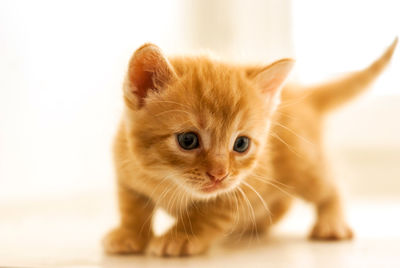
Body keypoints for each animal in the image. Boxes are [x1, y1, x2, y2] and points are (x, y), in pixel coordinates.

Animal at [102, 38, 396, 256]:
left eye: (241, 144)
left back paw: (331, 223)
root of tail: (301, 94)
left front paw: (182, 236)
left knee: (329, 186)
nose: (219, 174)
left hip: (302, 166)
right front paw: (129, 234)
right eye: (188, 140)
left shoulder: (239, 187)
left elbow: (207, 213)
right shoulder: (125, 170)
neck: (167, 180)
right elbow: (132, 206)